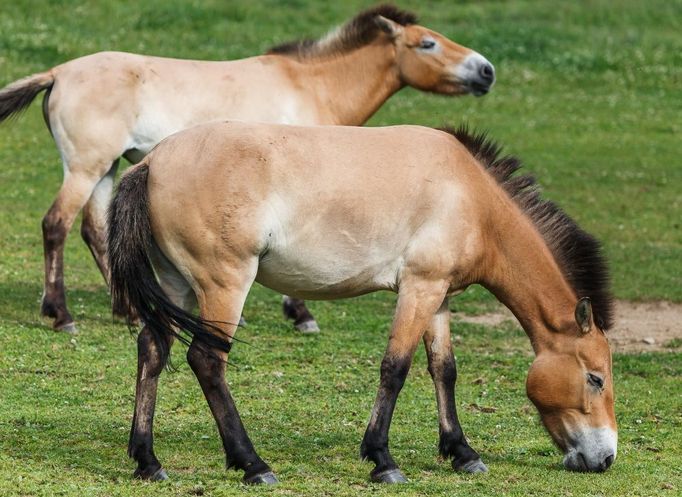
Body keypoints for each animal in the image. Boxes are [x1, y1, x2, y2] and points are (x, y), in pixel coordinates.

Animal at [0, 4, 494, 334]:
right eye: (427, 43)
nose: (486, 71)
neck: (308, 87)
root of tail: (59, 72)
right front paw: (301, 314)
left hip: (104, 170)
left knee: (95, 231)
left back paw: (130, 311)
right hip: (86, 168)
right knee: (56, 225)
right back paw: (61, 315)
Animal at [107, 122, 616, 482]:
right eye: (595, 378)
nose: (606, 457)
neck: (469, 196)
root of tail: (151, 163)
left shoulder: (438, 296)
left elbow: (444, 370)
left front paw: (462, 453)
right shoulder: (418, 288)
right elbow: (395, 369)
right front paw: (382, 460)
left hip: (176, 286)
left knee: (153, 350)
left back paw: (148, 461)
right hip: (225, 285)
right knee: (207, 361)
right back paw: (253, 464)